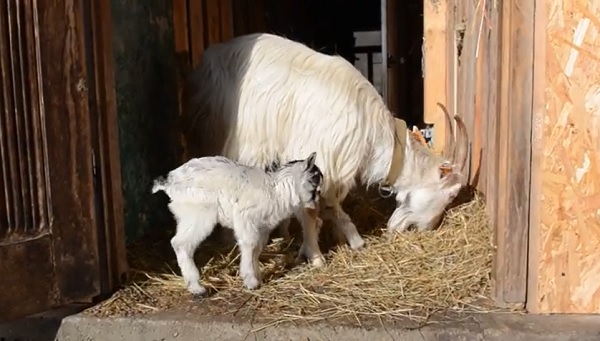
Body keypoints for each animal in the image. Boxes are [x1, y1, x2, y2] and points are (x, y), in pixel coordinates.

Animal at [150, 152, 324, 294]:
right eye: (315, 186)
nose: (315, 202)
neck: (277, 191)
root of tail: (169, 183)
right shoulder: (245, 219)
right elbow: (249, 244)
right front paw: (250, 281)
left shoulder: (262, 227)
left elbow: (257, 248)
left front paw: (257, 277)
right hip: (199, 213)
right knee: (181, 243)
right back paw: (197, 288)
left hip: (187, 216)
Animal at [180, 33, 472, 266]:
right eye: (451, 194)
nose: (427, 229)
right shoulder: (320, 155)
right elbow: (312, 209)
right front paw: (317, 255)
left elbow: (332, 204)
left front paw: (343, 237)